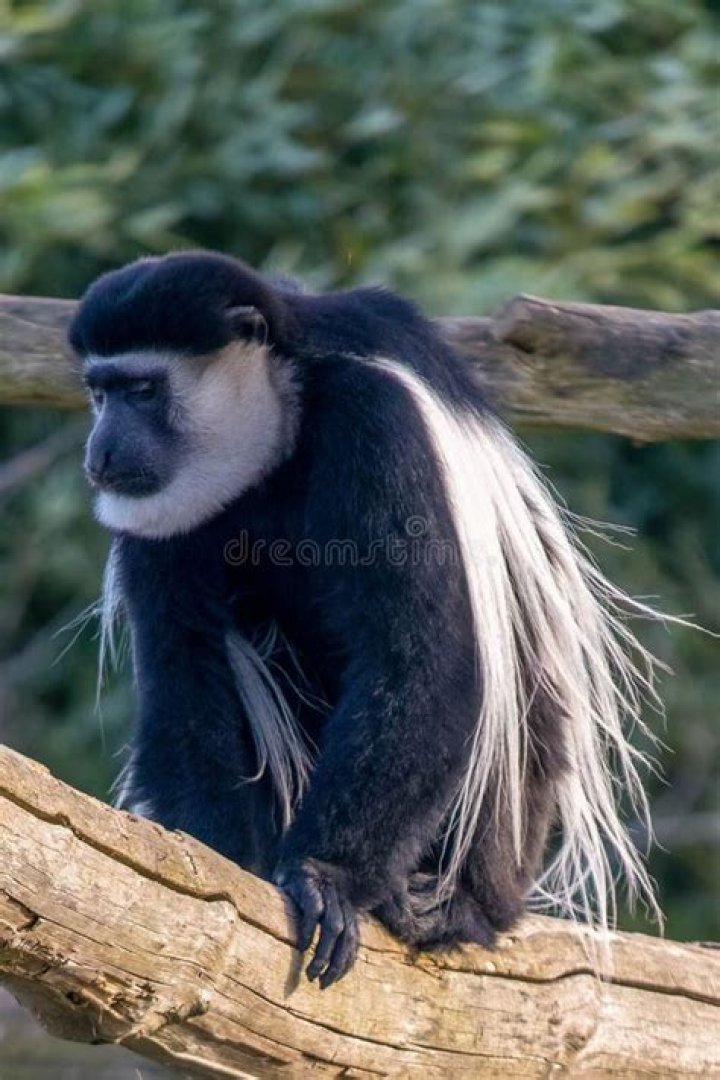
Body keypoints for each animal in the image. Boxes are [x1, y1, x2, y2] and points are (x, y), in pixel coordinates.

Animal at [68, 250, 670, 988]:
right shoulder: (155, 519)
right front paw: (224, 862)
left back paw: (452, 907)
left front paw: (325, 878)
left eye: (144, 391)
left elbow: (422, 664)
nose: (100, 453)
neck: (287, 413)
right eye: (100, 392)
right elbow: (185, 677)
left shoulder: (373, 419)